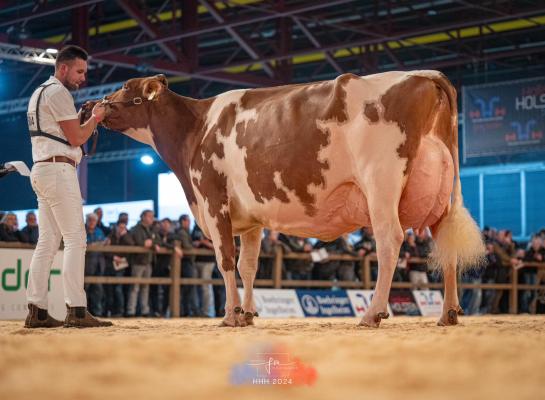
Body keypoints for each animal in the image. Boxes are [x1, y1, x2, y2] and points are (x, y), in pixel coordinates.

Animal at [87, 71, 482, 328]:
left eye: (125, 87)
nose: (93, 102)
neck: (195, 129)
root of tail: (425, 74)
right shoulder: (251, 219)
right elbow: (248, 265)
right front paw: (247, 314)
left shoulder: (213, 200)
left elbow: (225, 261)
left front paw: (230, 315)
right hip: (442, 195)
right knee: (445, 243)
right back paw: (448, 313)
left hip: (381, 184)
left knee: (390, 241)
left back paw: (373, 313)